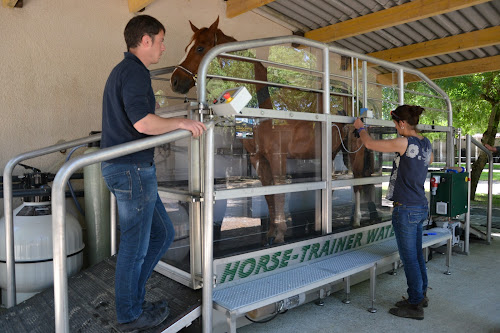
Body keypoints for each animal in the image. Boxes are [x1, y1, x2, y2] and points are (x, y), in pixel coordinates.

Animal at [171, 16, 376, 243]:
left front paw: (280, 234)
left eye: (200, 48)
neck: (263, 101)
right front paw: (270, 233)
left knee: (358, 182)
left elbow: (279, 192)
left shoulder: (278, 156)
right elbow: (269, 193)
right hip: (332, 153)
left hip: (354, 152)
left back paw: (356, 220)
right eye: (187, 47)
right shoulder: (258, 158)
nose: (175, 81)